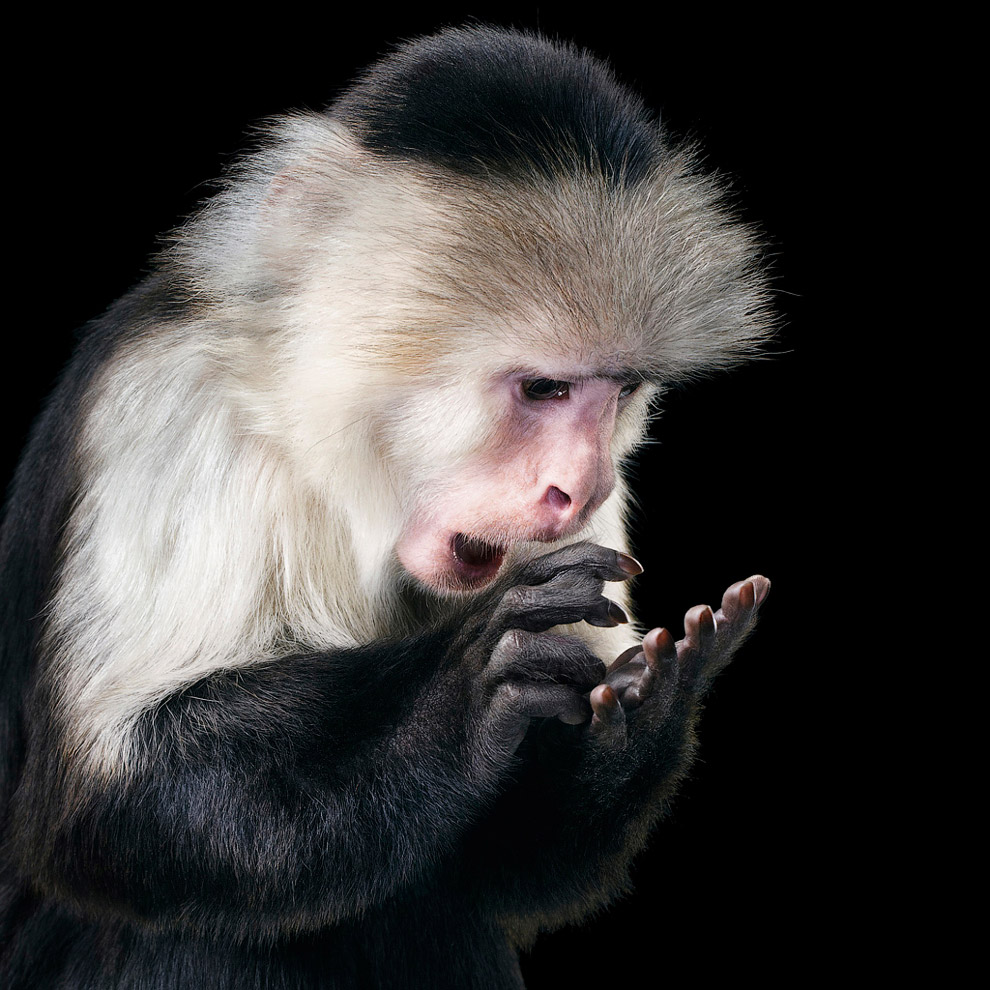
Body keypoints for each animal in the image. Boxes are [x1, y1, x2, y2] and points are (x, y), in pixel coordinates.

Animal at [0, 25, 776, 990]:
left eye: (620, 390)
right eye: (544, 389)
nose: (580, 487)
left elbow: (496, 870)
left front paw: (644, 713)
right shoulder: (169, 409)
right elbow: (108, 811)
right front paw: (459, 703)